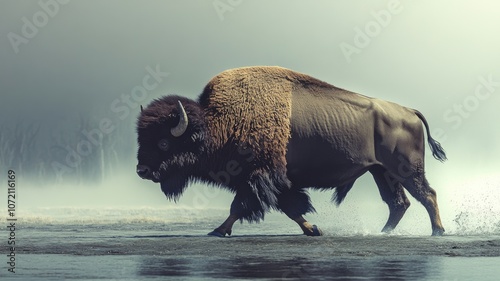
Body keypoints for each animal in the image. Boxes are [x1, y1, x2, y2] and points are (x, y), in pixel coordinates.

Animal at [136, 66, 446, 236]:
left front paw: (218, 231)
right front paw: (313, 230)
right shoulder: (272, 180)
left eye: (163, 143)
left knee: (426, 195)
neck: (218, 122)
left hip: (406, 169)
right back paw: (383, 232)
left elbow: (243, 205)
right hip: (381, 172)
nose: (142, 170)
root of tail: (409, 111)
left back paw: (438, 231)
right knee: (398, 202)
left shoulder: (259, 176)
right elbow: (289, 206)